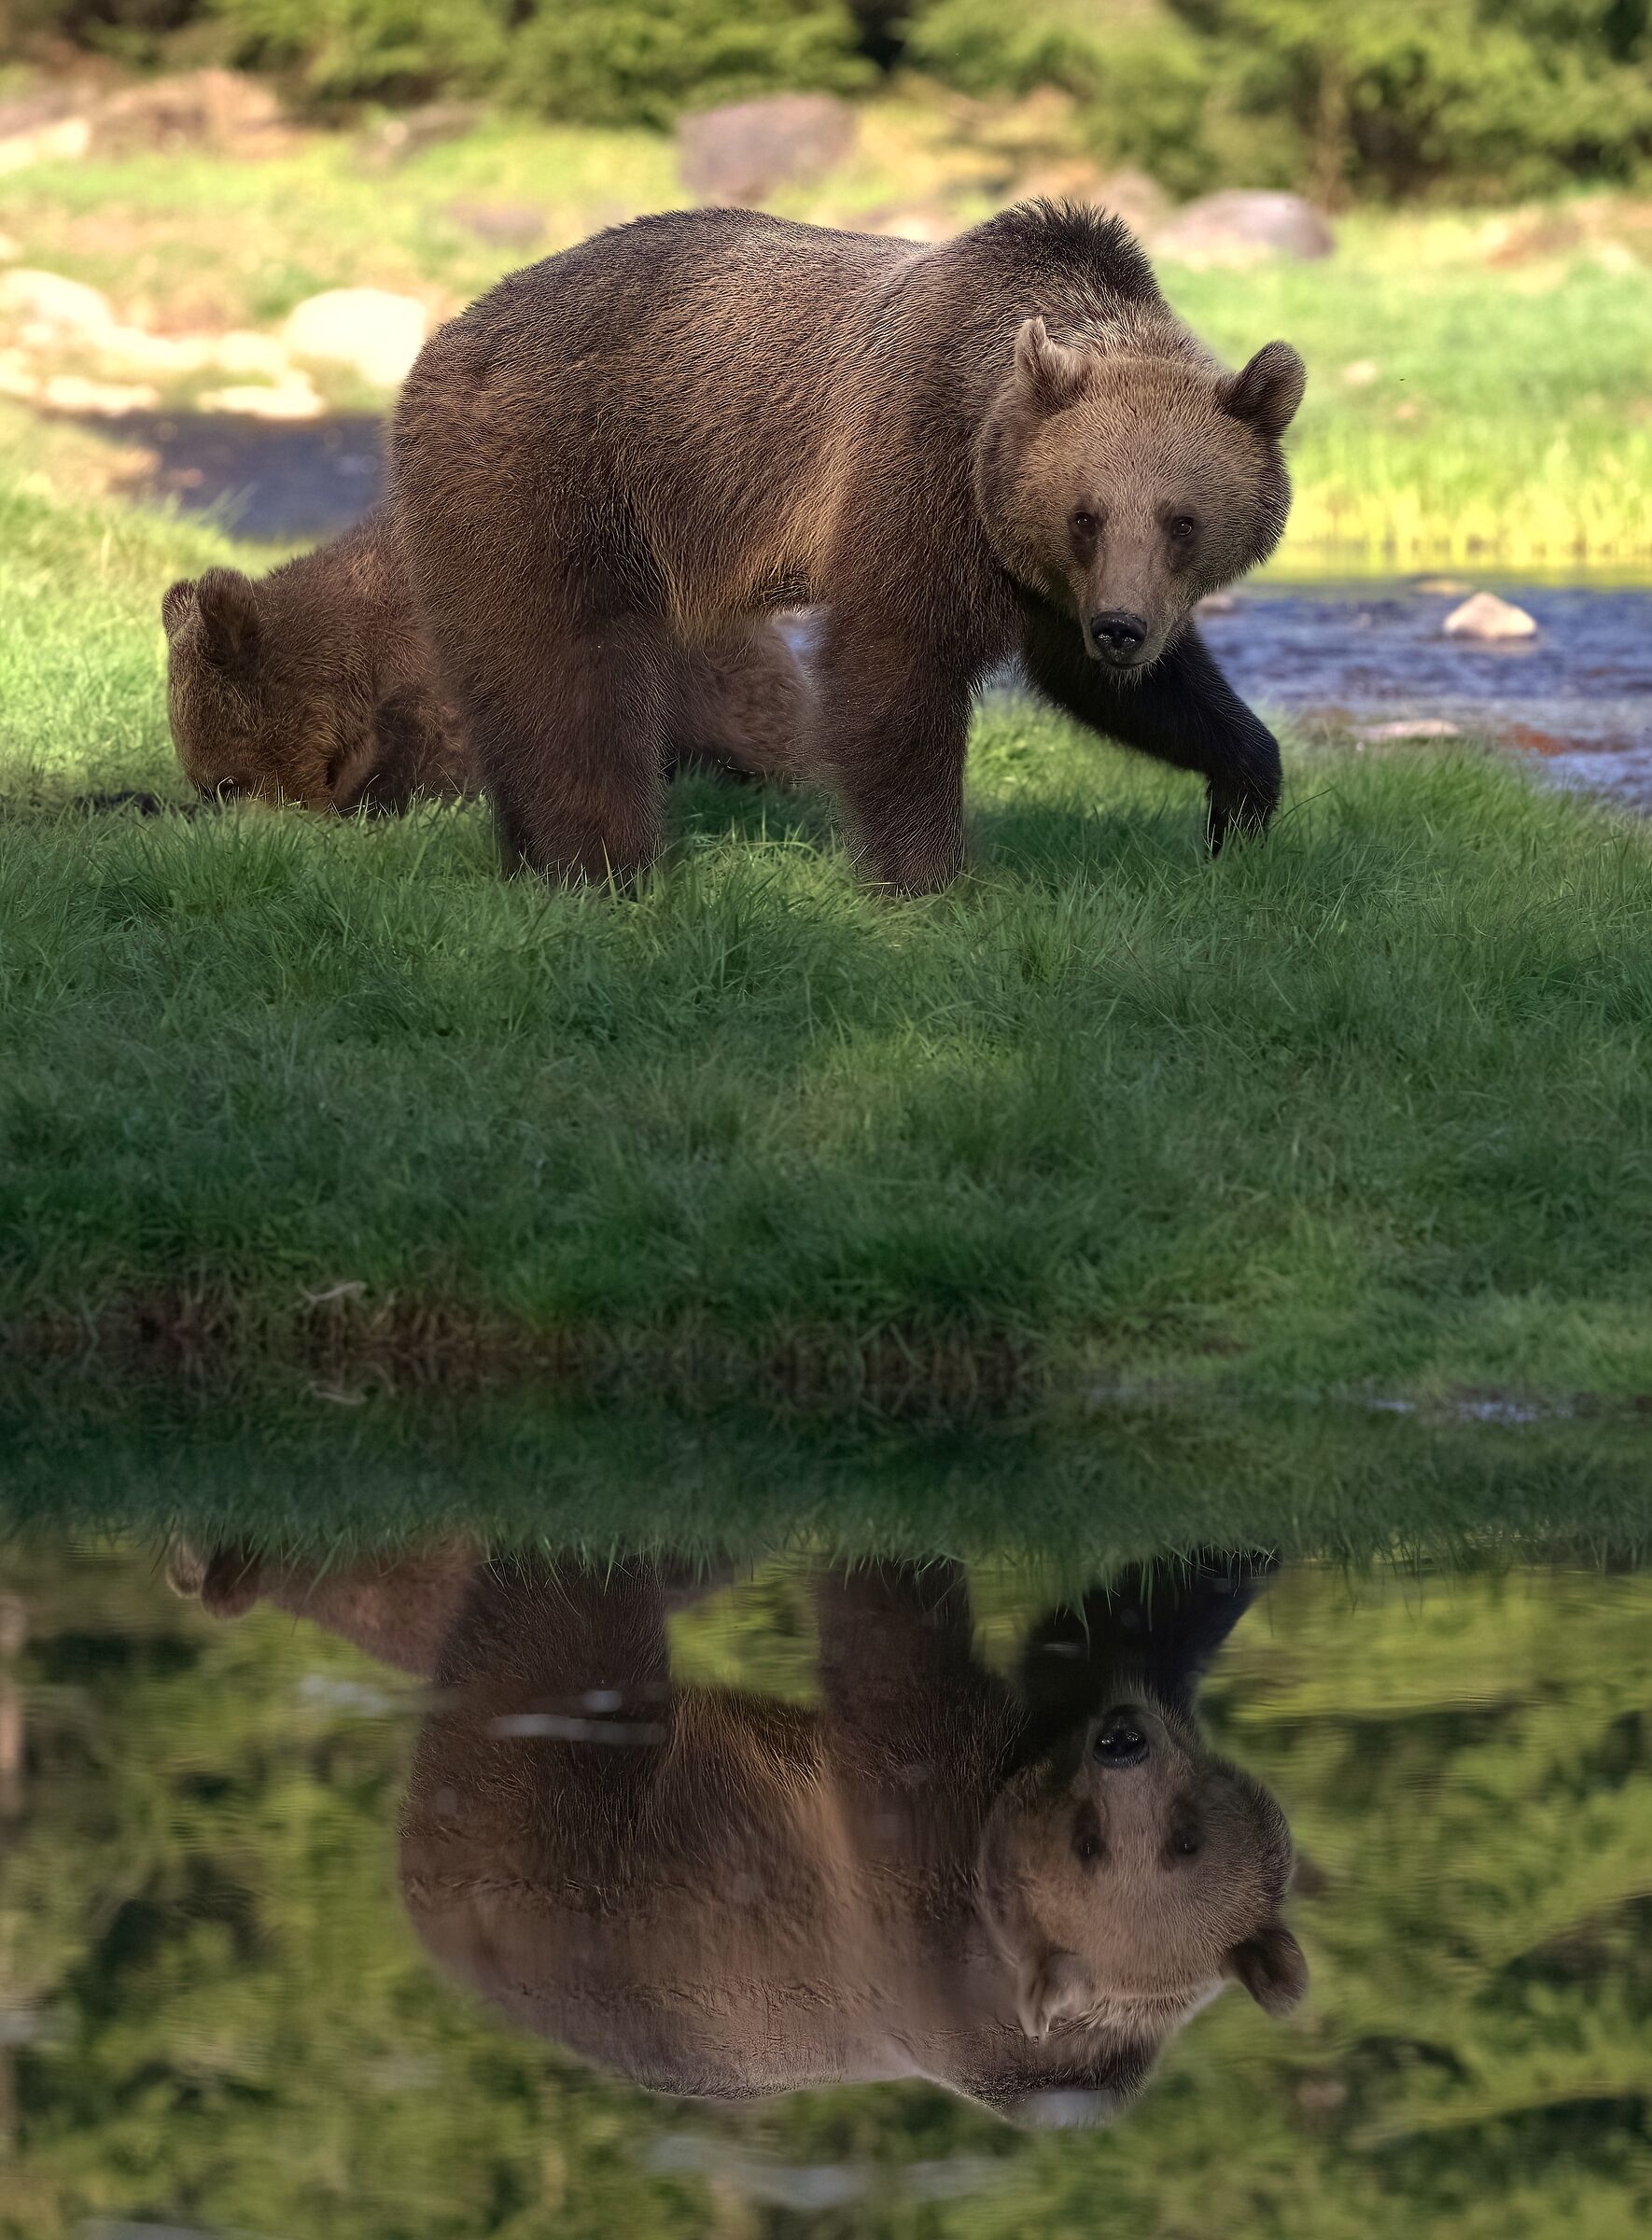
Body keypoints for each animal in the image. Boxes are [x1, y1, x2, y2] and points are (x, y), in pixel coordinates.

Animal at [173, 1540, 1303, 2123]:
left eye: (1159, 1839)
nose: (1122, 1739)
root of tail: (430, 1907)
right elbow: (1099, 1628)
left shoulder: (918, 1870)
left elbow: (898, 1647)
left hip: (550, 1808)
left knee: (546, 1592)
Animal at [391, 199, 1304, 889]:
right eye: (1087, 514)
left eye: (1182, 520)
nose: (1120, 630)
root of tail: (446, 337)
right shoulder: (918, 469)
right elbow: (893, 670)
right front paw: (930, 879)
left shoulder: (1036, 573)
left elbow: (1120, 685)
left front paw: (1241, 800)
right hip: (551, 475)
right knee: (572, 676)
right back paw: (607, 865)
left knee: (503, 679)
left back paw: (527, 858)